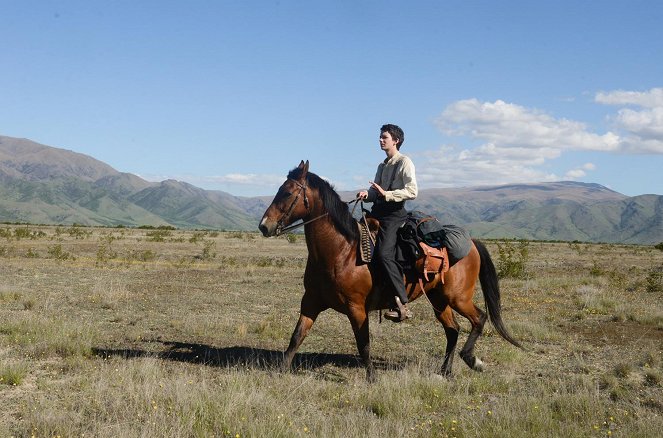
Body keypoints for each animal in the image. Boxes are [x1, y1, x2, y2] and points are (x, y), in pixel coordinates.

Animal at [260, 160, 524, 380]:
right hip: (439, 299)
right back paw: (445, 371)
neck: (340, 252)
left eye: (287, 192)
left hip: (458, 297)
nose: (264, 226)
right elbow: (296, 337)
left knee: (479, 318)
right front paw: (279, 372)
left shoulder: (357, 308)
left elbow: (363, 343)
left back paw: (472, 360)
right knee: (453, 330)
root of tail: (471, 243)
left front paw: (372, 378)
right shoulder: (311, 302)